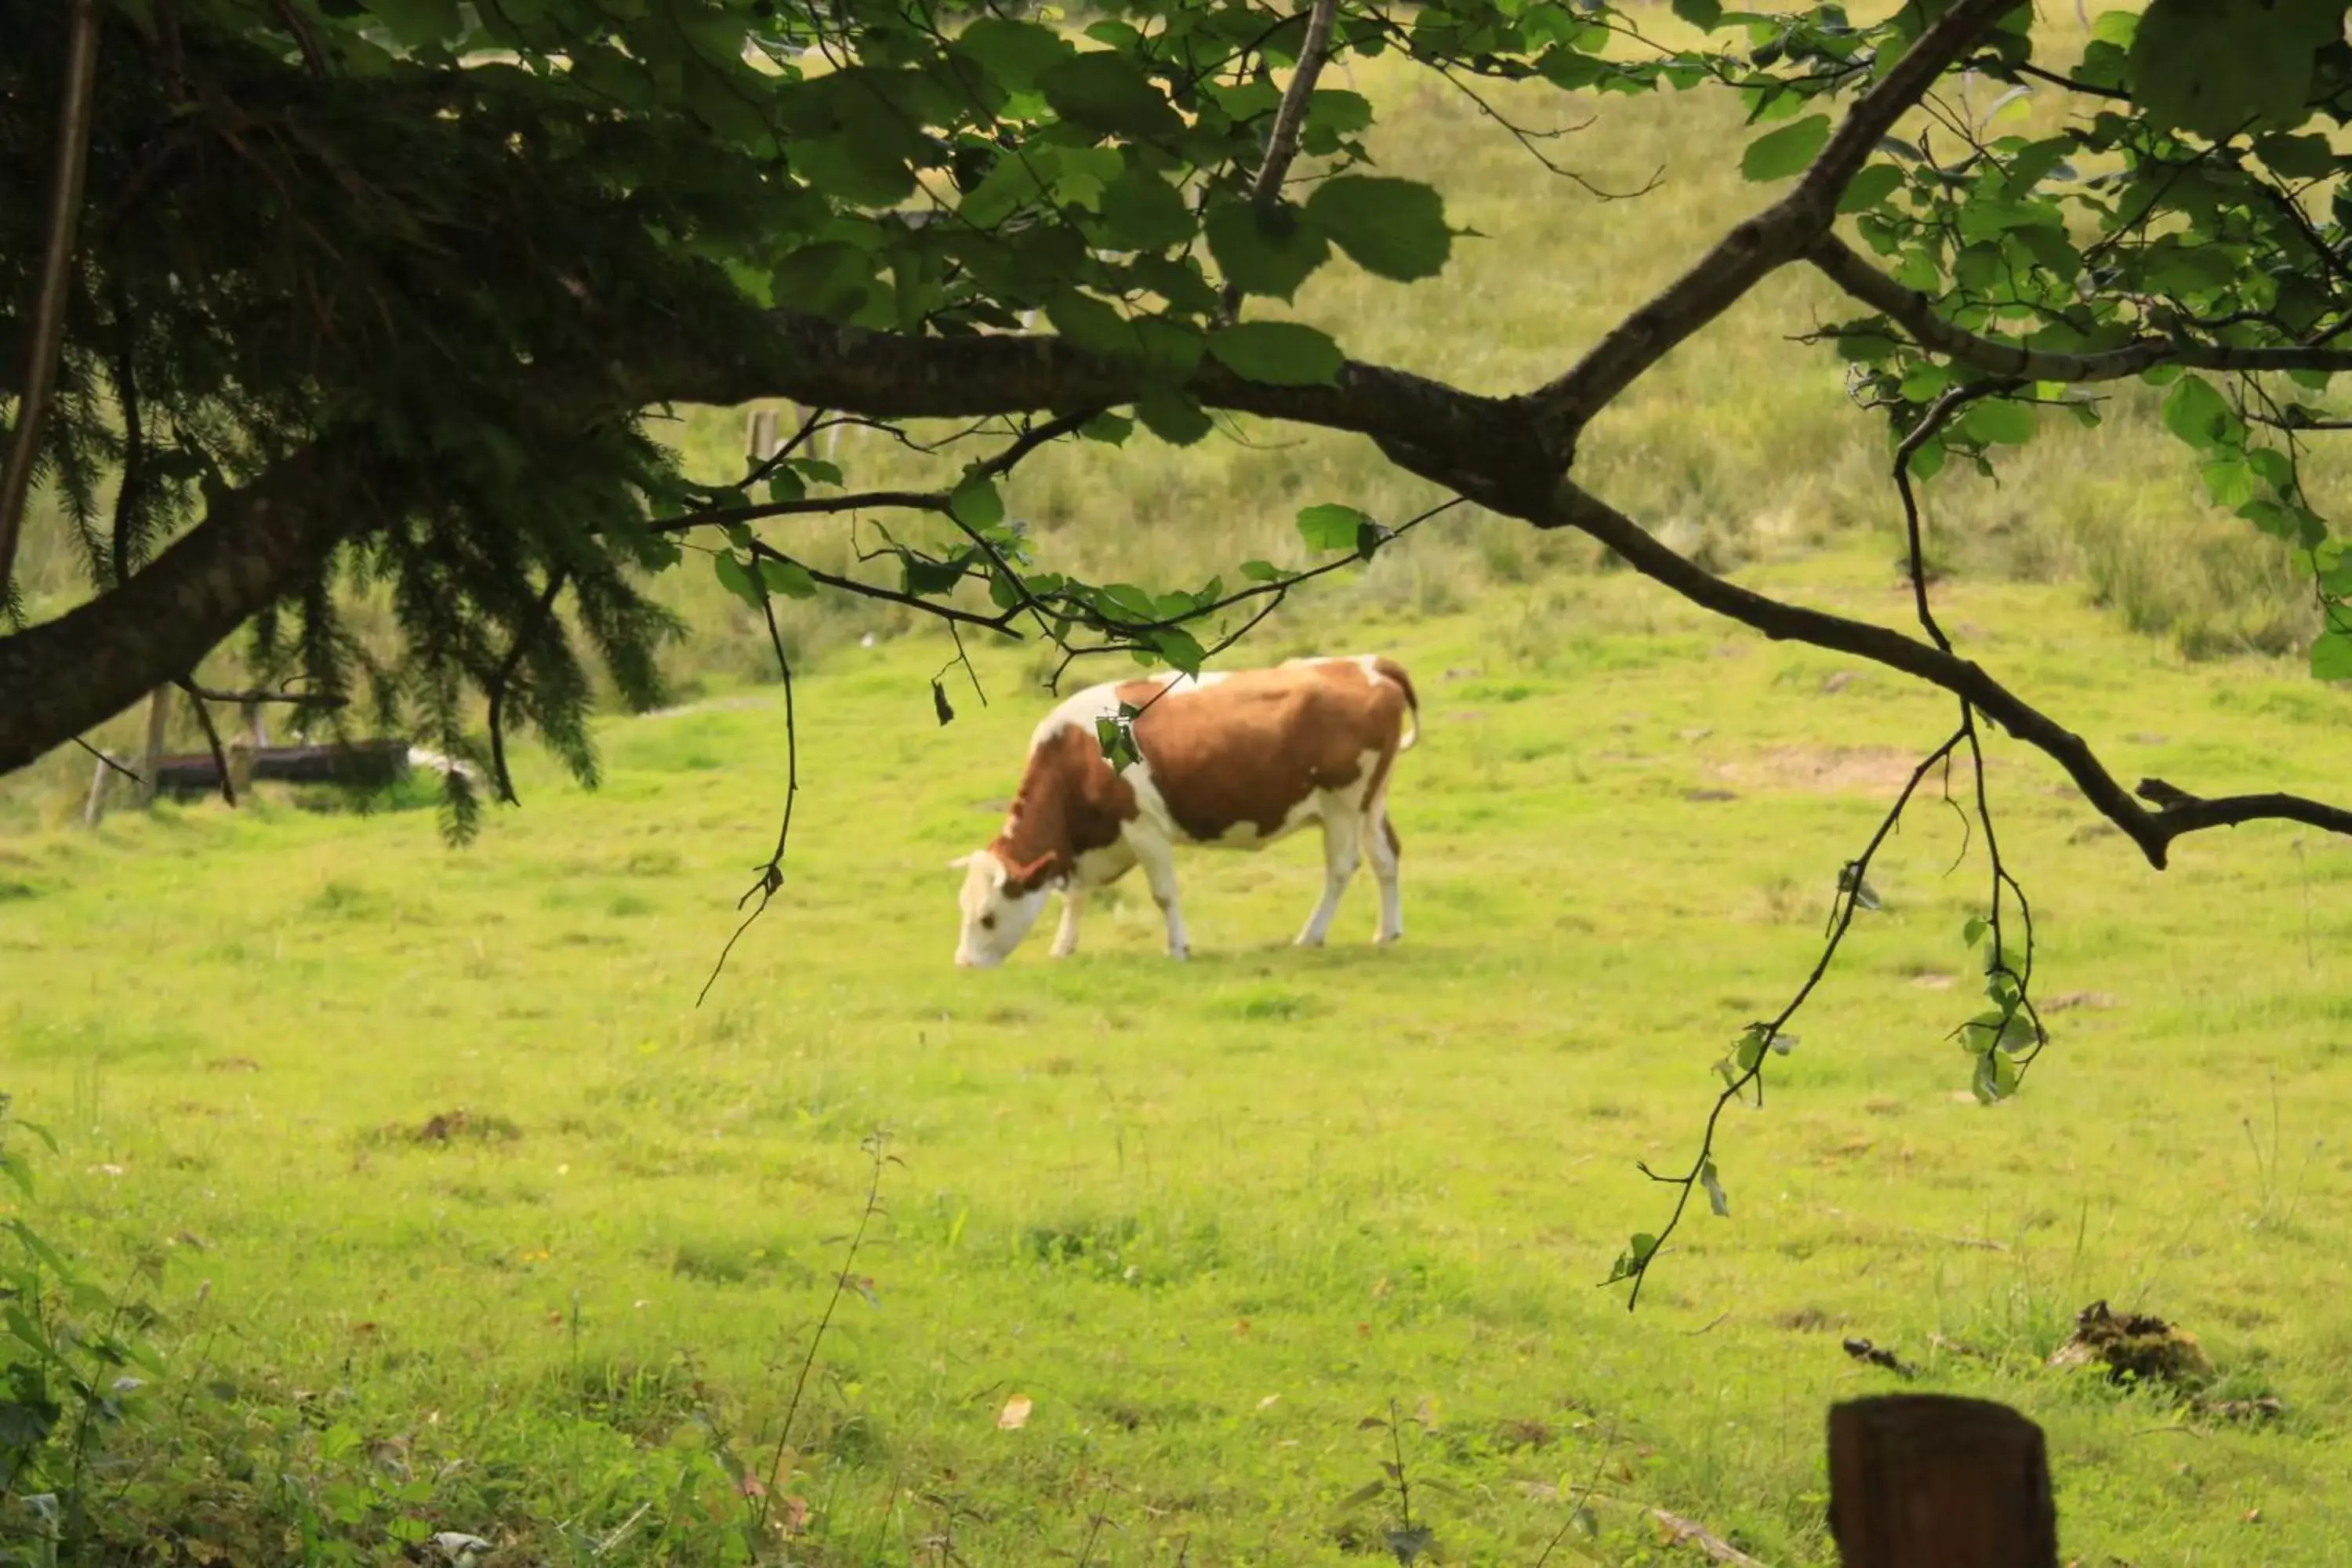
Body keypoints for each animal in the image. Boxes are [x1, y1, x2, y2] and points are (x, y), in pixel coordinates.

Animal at [950, 653, 1421, 968]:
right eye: (963, 909)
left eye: (987, 918)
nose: (965, 964)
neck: (1074, 755)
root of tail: (1366, 664)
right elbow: (1075, 896)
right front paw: (1063, 946)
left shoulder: (1144, 829)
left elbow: (1164, 894)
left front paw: (1177, 947)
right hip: (1370, 803)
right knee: (1386, 857)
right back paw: (1387, 932)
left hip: (1343, 803)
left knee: (1341, 868)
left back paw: (1312, 934)